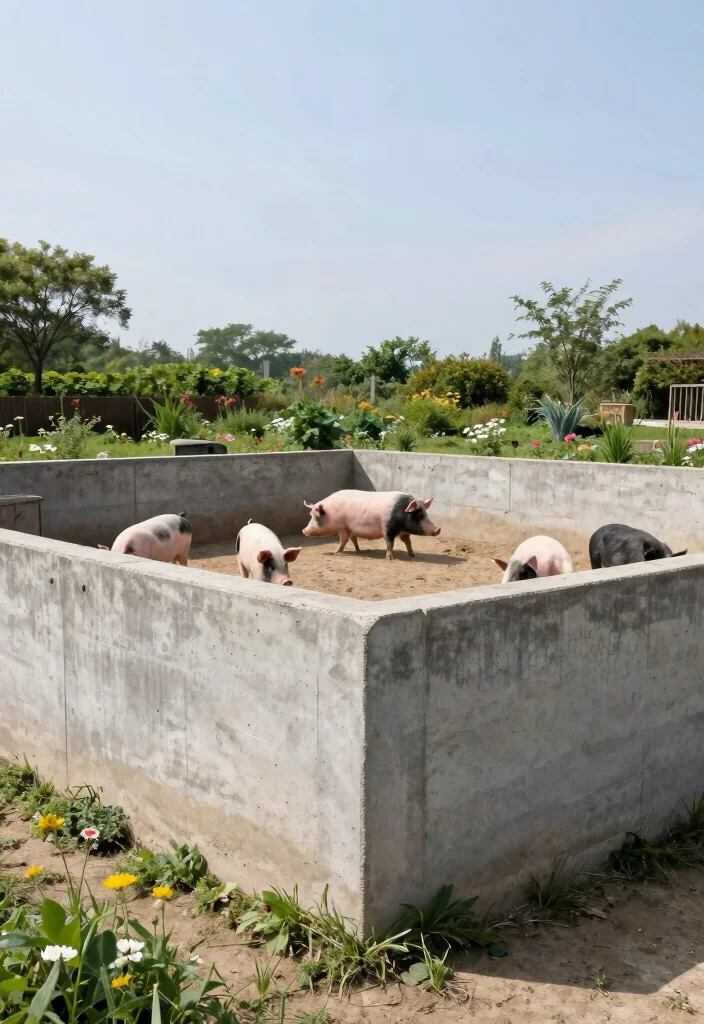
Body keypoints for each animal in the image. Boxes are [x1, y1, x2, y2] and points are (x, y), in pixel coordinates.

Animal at [302, 489, 440, 561]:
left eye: (424, 515)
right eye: (418, 516)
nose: (438, 529)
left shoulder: (393, 530)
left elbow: (404, 542)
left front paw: (410, 556)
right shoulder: (347, 527)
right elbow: (349, 540)